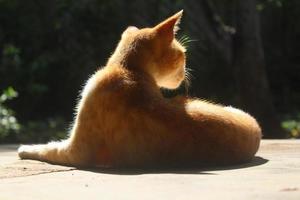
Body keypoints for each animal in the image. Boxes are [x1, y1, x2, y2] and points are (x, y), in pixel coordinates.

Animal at [18, 10, 260, 167]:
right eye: (182, 55)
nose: (186, 71)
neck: (128, 71)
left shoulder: (76, 151)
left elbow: (46, 146)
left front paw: (23, 148)